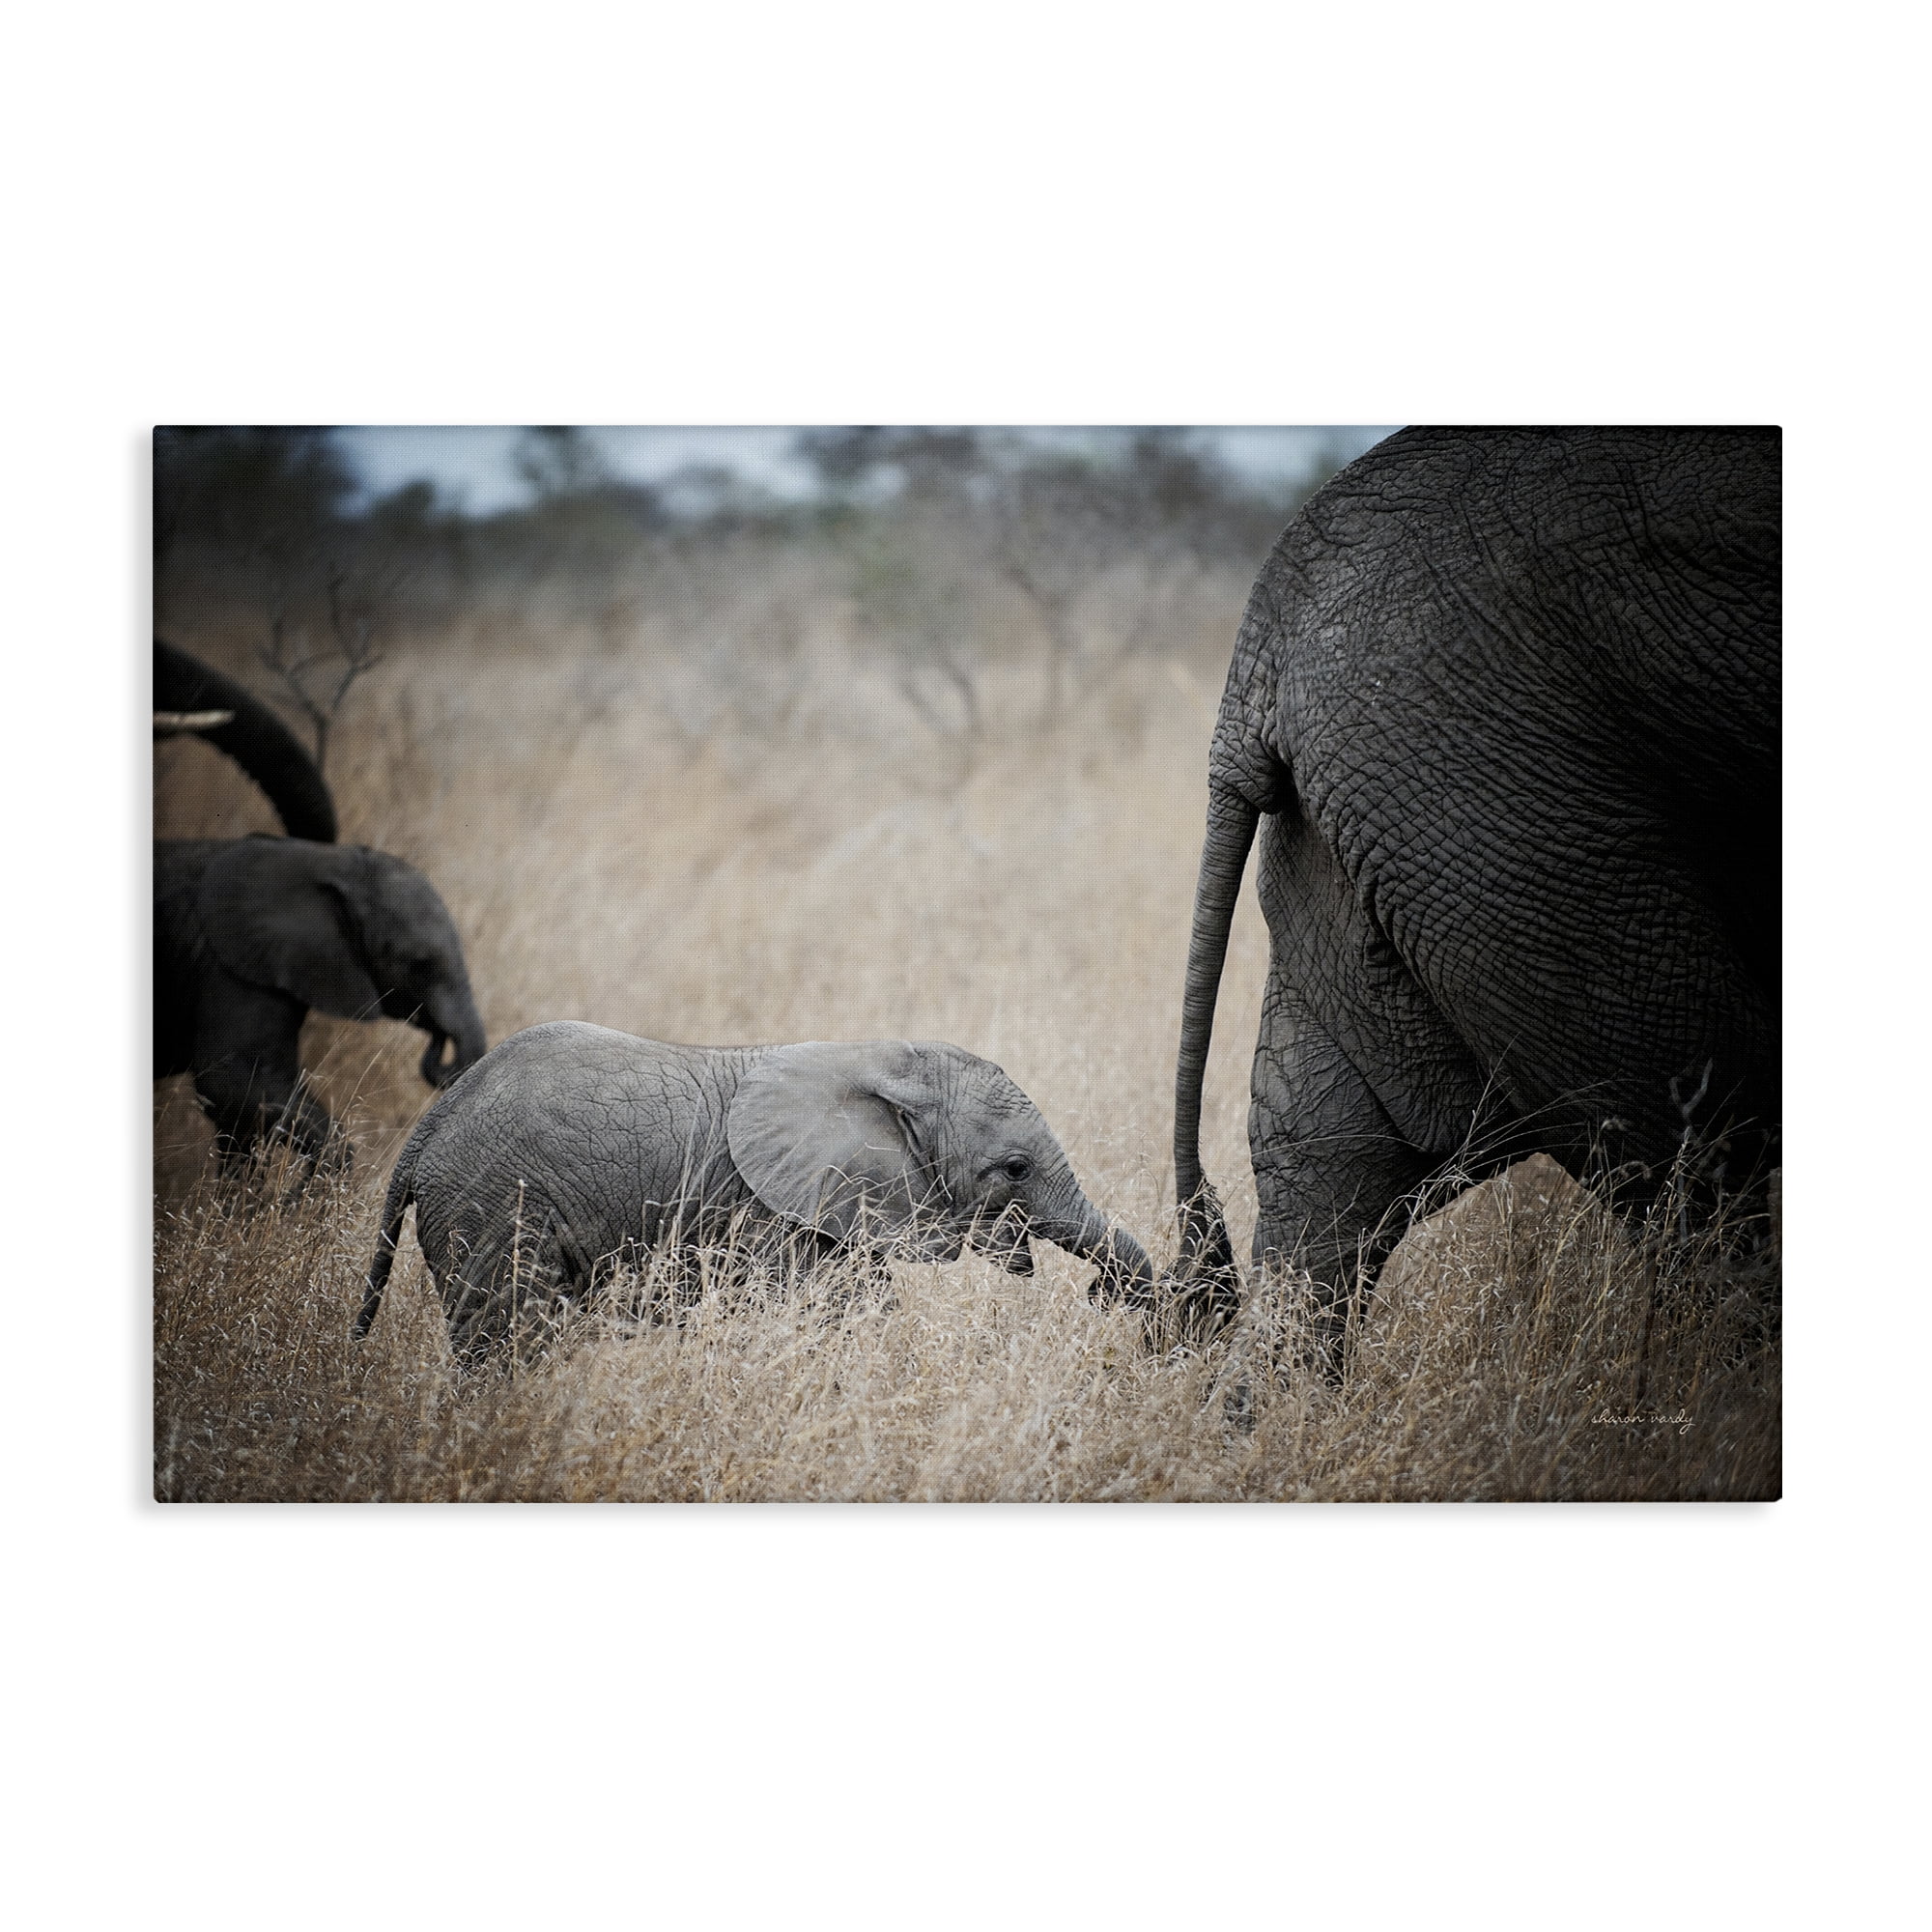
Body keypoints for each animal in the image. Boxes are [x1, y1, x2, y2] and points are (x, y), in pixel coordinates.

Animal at [354, 1022, 1156, 1357]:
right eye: (1016, 1169)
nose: (1106, 1298)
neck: (879, 1058)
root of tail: (430, 1124)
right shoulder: (766, 1213)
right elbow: (837, 1319)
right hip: (491, 1202)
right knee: (507, 1336)